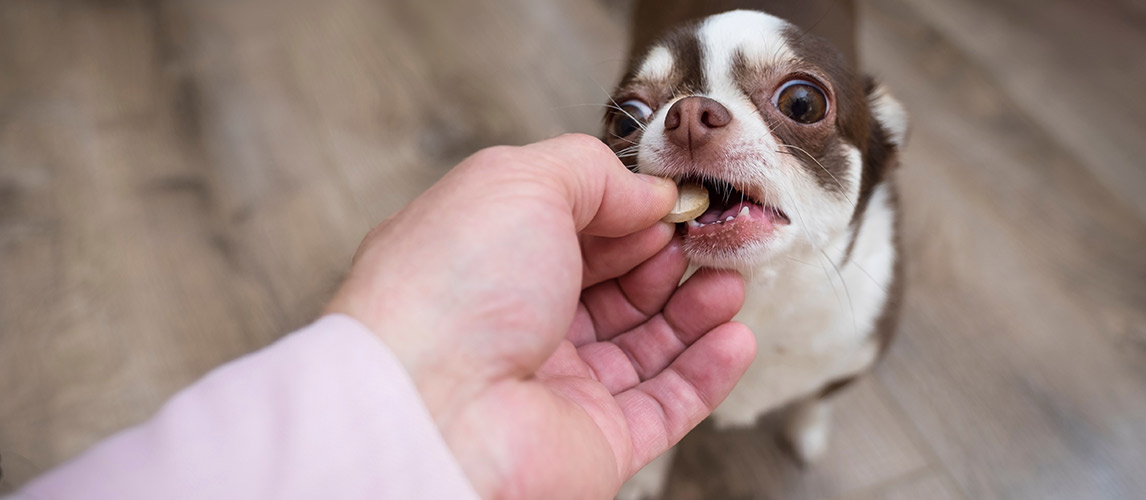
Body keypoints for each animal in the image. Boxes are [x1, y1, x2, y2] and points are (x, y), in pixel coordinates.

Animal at [605, 4, 907, 499]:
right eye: (626, 120)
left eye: (803, 103)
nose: (690, 111)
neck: (760, 294)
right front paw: (642, 479)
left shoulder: (857, 357)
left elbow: (815, 398)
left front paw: (807, 431)